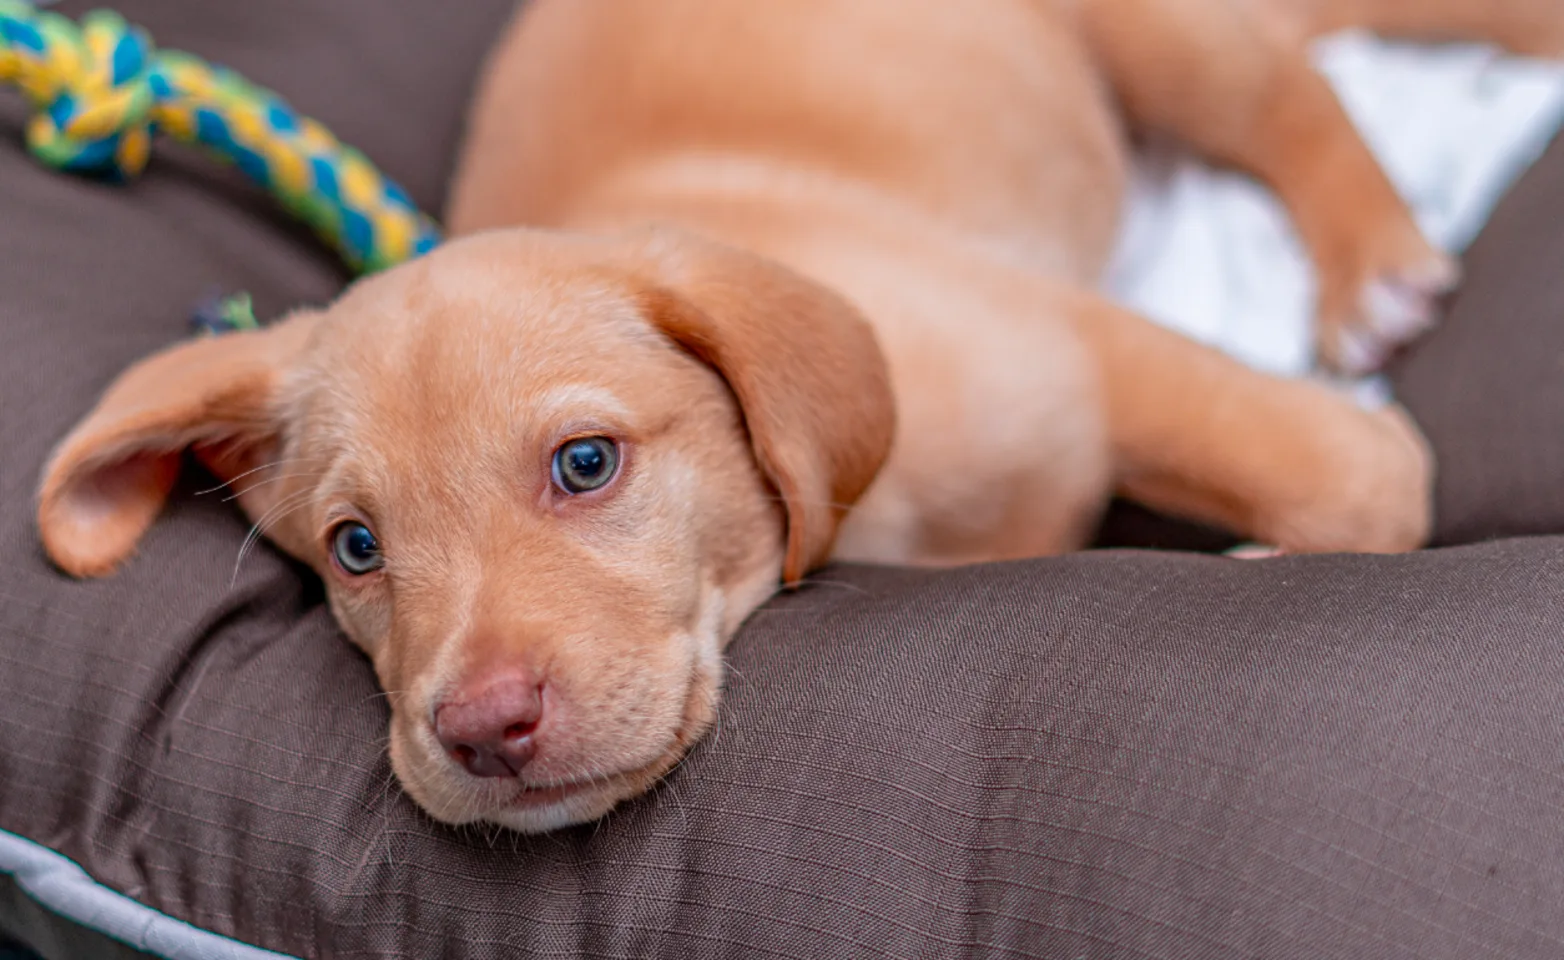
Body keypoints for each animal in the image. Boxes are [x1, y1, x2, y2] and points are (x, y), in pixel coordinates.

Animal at [30, 0, 1557, 838]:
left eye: (586, 464)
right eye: (355, 550)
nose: (482, 732)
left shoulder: (1087, 357)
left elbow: (1359, 479)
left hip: (1154, 35)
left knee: (1287, 91)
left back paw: (1372, 262)